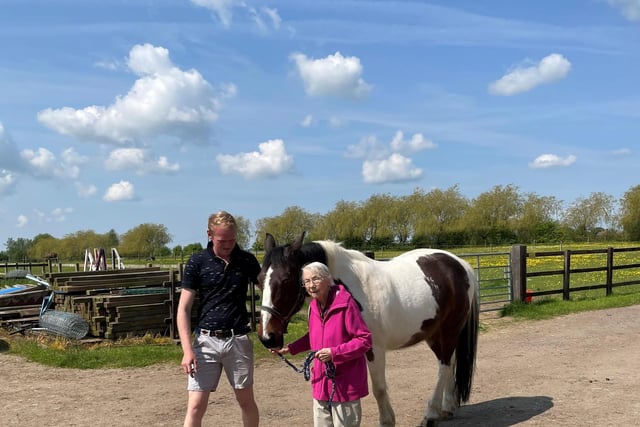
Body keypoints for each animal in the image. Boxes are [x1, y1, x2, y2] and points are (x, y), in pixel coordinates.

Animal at [258, 234, 478, 427]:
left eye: (286, 279)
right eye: (260, 279)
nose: (268, 337)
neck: (351, 287)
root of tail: (461, 264)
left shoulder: (374, 349)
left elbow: (379, 389)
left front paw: (387, 421)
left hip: (449, 330)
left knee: (443, 367)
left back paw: (431, 414)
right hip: (434, 333)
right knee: (449, 363)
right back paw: (447, 407)